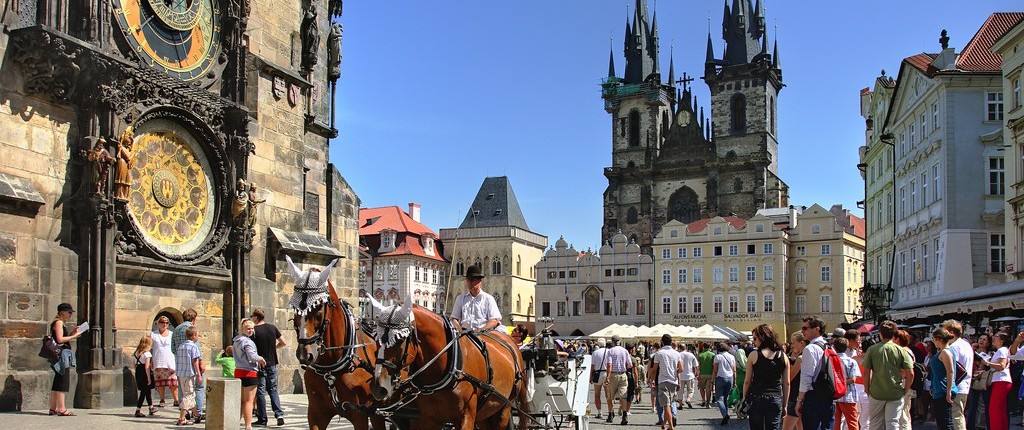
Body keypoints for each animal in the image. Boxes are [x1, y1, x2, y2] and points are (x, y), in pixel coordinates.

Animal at [368, 305, 528, 430]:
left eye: (400, 339)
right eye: (376, 338)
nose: (378, 388)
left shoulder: (465, 417)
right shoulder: (429, 418)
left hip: (504, 408)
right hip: (486, 413)